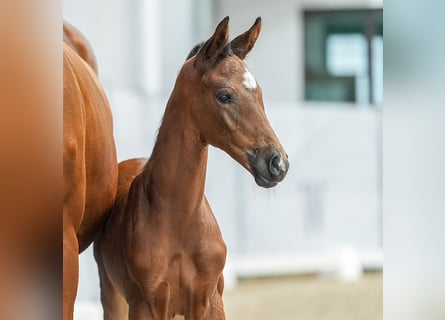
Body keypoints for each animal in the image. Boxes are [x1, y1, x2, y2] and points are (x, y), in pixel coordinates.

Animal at [93, 16, 288, 320]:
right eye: (224, 96)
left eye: (259, 94)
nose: (277, 162)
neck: (180, 220)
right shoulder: (145, 304)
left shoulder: (209, 301)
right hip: (113, 299)